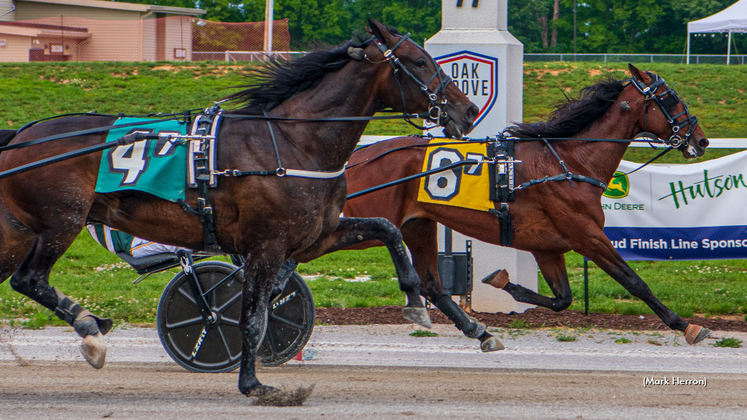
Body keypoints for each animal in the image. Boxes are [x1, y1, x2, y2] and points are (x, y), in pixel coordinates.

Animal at [0, 19, 480, 398]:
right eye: (419, 62)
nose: (469, 109)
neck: (293, 143)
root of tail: (20, 136)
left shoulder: (315, 235)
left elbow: (388, 229)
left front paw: (417, 301)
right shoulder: (266, 245)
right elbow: (251, 317)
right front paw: (253, 384)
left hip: (20, 231)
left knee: (21, 278)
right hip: (62, 220)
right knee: (30, 279)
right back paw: (90, 330)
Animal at [340, 65, 712, 348]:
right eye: (669, 98)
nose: (701, 139)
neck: (569, 162)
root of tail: (357, 158)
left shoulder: (548, 246)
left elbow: (562, 299)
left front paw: (504, 282)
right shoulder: (587, 235)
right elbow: (634, 282)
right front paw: (685, 325)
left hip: (417, 224)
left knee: (433, 284)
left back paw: (478, 331)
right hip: (373, 222)